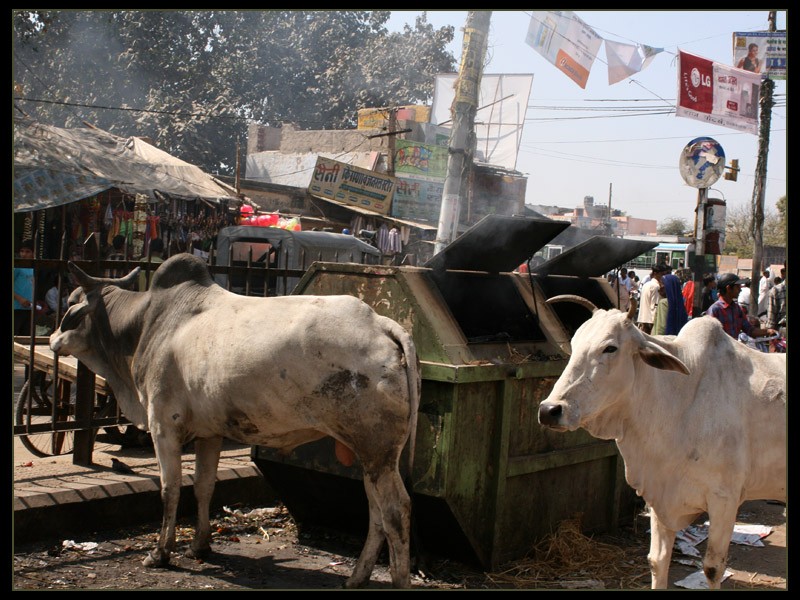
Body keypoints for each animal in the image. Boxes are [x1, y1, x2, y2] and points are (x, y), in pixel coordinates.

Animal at [50, 253, 422, 592]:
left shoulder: (163, 427)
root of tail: (382, 324)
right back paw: (356, 577)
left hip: (376, 450)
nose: (52, 339)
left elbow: (170, 489)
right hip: (373, 456)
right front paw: (200, 545)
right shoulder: (210, 434)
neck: (144, 326)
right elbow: (203, 486)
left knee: (396, 510)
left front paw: (160, 553)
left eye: (70, 303)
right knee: (376, 512)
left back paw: (397, 581)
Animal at [536, 298, 788, 588]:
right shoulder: (659, 494)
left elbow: (713, 568)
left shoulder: (725, 498)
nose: (549, 410)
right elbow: (657, 561)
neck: (679, 399)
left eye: (610, 348)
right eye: (574, 343)